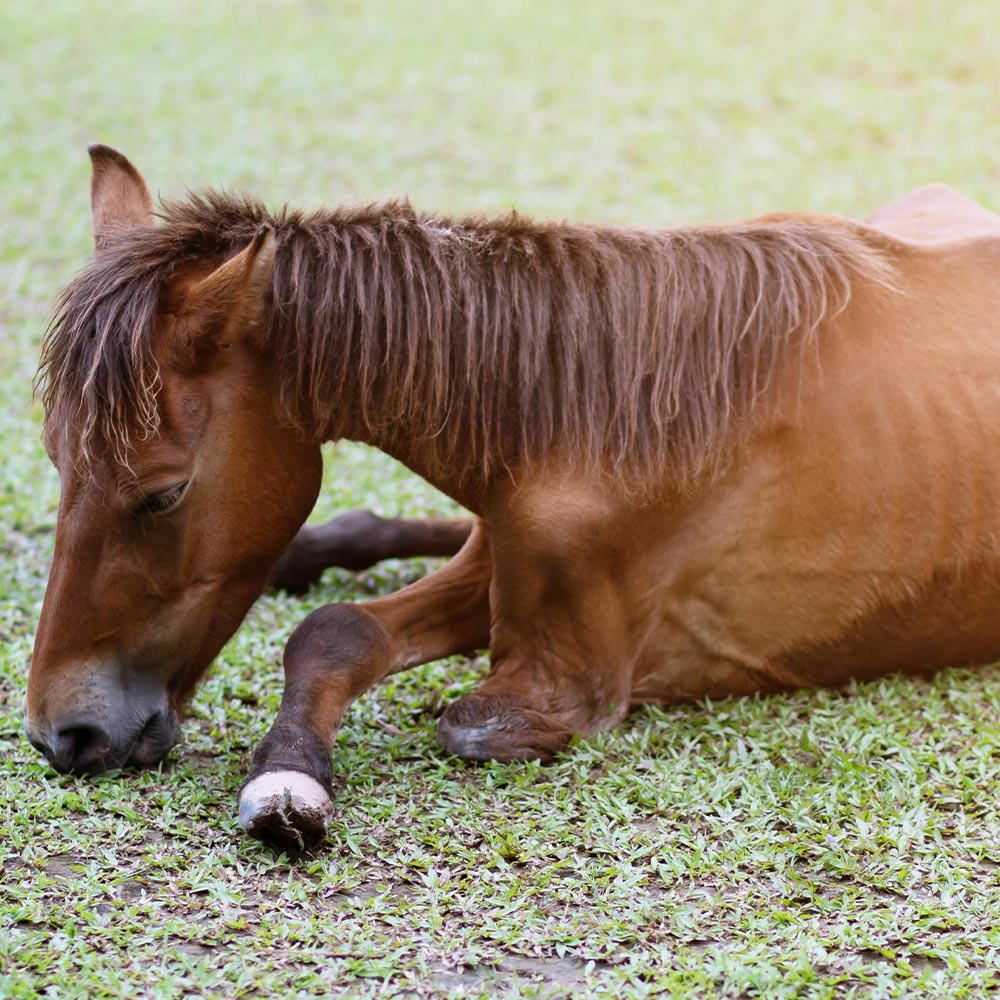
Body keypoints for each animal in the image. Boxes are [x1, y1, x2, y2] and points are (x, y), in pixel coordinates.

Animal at [26, 145, 1000, 849]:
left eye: (163, 495)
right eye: (54, 457)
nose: (60, 734)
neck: (593, 415)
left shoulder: (568, 684)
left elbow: (463, 722)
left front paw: (289, 781)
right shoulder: (493, 568)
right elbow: (334, 632)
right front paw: (290, 772)